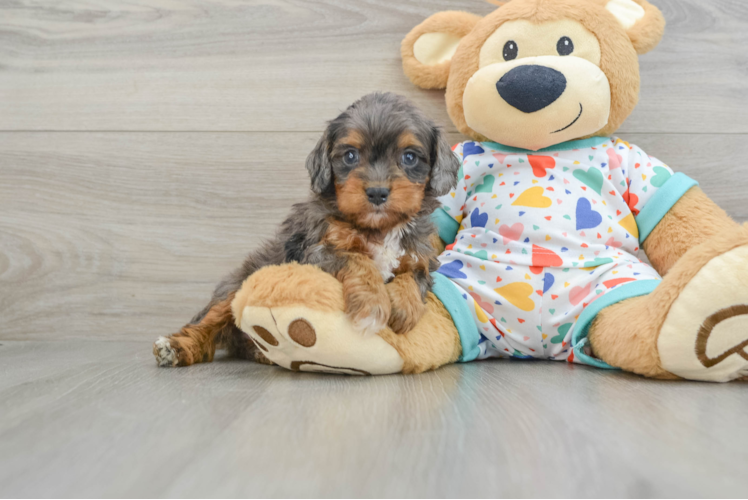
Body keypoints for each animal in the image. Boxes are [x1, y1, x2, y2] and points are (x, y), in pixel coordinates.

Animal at [154, 93, 458, 368]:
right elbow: (357, 260)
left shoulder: (421, 255)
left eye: (409, 157)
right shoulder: (315, 251)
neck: (380, 228)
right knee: (209, 323)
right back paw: (176, 347)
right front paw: (373, 305)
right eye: (350, 155)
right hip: (239, 284)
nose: (377, 193)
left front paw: (404, 308)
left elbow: (414, 276)